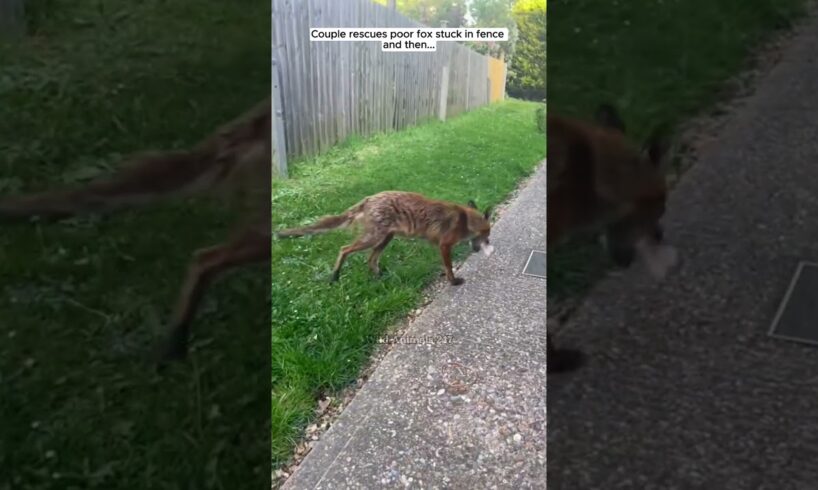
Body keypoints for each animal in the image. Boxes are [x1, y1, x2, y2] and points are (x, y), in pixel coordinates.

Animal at [274, 190, 494, 286]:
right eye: (487, 235)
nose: (485, 246)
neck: (465, 220)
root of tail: (369, 198)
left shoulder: (442, 247)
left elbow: (445, 266)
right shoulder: (444, 244)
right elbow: (448, 267)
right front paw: (453, 281)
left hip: (385, 238)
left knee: (370, 259)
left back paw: (379, 277)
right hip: (374, 238)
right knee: (345, 249)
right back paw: (335, 276)